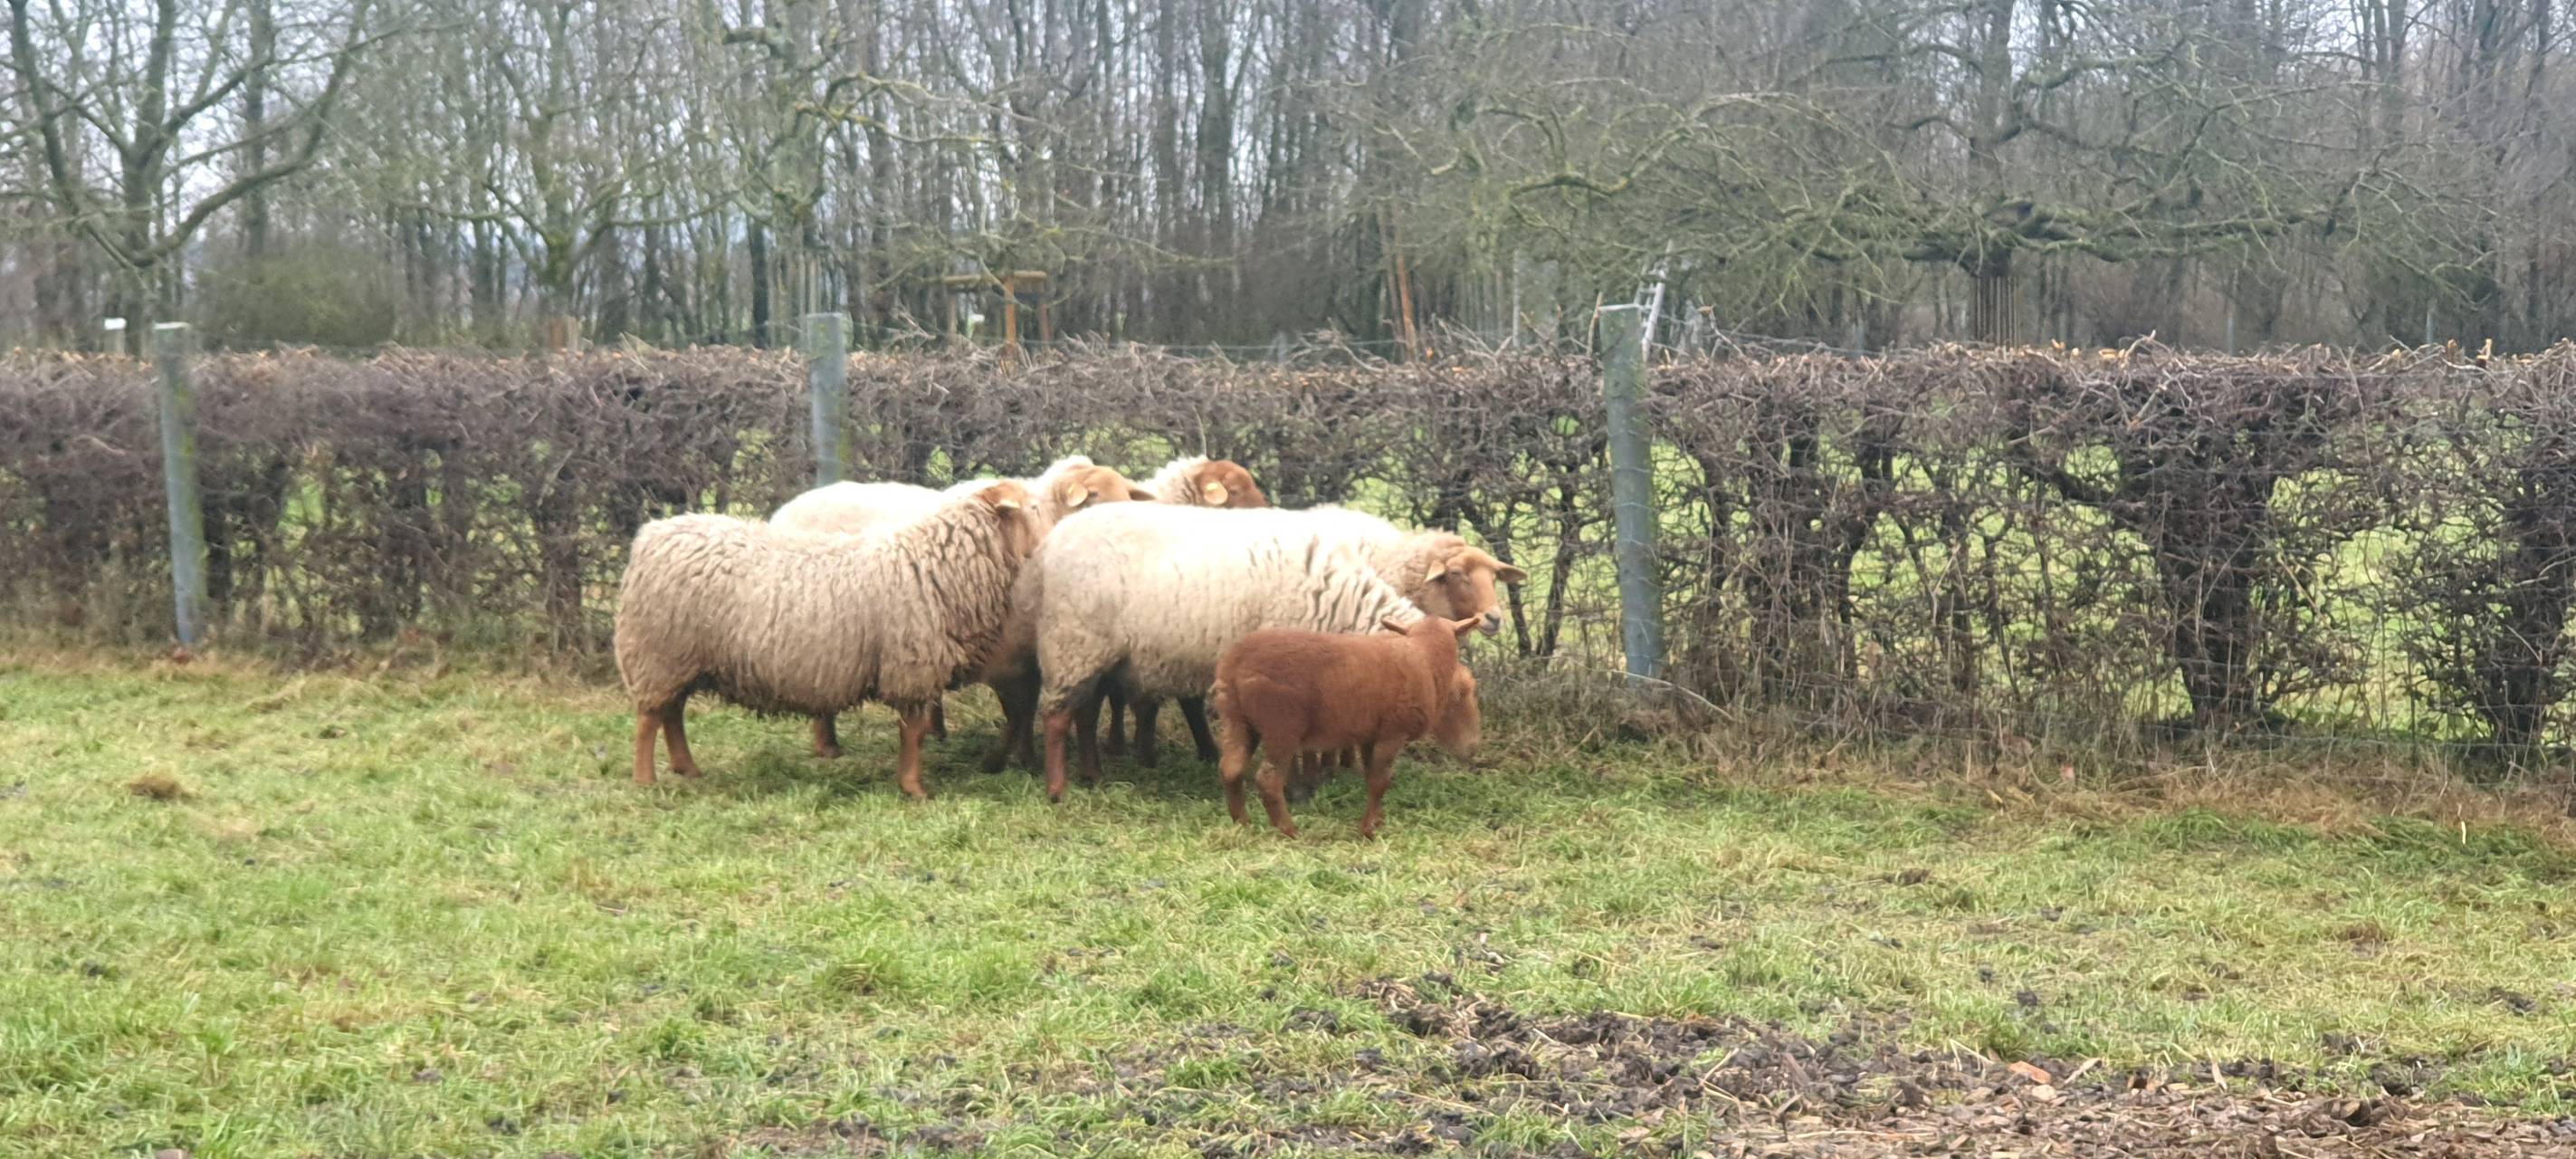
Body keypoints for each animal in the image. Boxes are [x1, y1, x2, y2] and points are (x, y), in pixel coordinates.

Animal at [615, 480, 1041, 798]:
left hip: (680, 657)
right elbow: (913, 732)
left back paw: (687, 768)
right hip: (658, 652)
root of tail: (651, 536)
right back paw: (645, 780)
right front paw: (914, 788)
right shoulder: (911, 666)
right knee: (649, 720)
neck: (938, 564)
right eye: (1032, 509)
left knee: (672, 713)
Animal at [769, 456, 1147, 759]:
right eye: (1094, 498)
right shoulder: (1009, 648)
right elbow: (1020, 705)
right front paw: (1022, 755)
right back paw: (829, 747)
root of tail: (784, 512)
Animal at [992, 503, 1521, 799]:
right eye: (1455, 693)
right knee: (1056, 717)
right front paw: (1302, 787)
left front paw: (1311, 783)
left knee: (1083, 713)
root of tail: (1048, 546)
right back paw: (1058, 789)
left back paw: (1093, 776)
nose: (1474, 751)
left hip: (1101, 653)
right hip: (1074, 640)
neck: (1338, 602)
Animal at [1213, 615, 1483, 838]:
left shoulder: (1370, 736)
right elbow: (1380, 781)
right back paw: (1289, 831)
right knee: (1268, 779)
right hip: (1282, 727)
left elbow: (1371, 776)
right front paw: (1367, 830)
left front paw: (1377, 821)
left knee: (1231, 769)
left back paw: (1242, 824)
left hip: (1236, 720)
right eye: (1464, 692)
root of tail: (1237, 660)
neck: (1426, 658)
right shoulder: (1392, 733)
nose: (1472, 747)